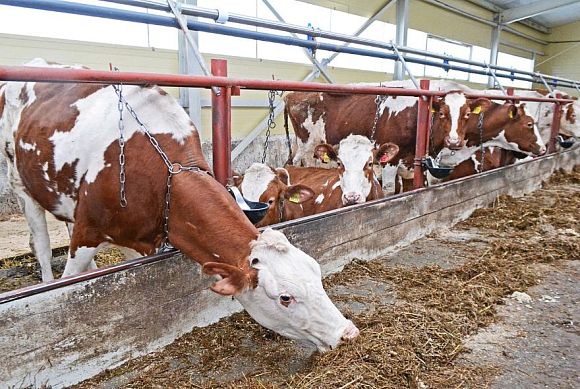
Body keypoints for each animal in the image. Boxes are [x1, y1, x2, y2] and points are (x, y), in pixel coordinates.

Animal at [0, 58, 358, 352]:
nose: (347, 333)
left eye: (317, 274)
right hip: (20, 181)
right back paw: (47, 276)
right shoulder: (90, 231)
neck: (162, 178)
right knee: (41, 242)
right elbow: (71, 278)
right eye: (285, 297)